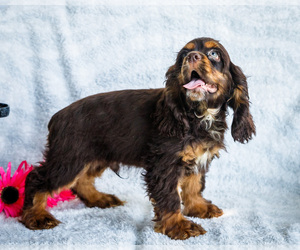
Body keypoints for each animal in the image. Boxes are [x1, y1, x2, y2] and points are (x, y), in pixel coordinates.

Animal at [21, 37, 255, 240]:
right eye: (183, 55)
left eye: (214, 53)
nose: (192, 57)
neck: (199, 115)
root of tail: (57, 116)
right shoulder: (163, 164)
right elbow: (170, 197)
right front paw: (179, 226)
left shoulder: (197, 159)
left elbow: (194, 185)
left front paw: (198, 207)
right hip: (69, 158)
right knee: (36, 178)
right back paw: (36, 216)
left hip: (94, 157)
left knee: (82, 181)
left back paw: (100, 199)